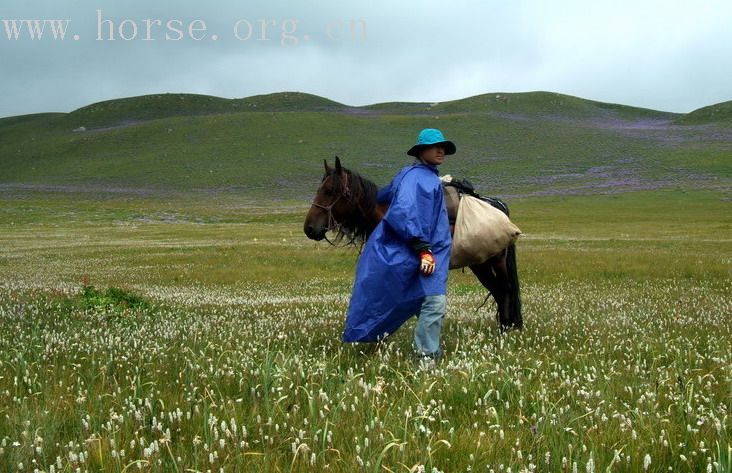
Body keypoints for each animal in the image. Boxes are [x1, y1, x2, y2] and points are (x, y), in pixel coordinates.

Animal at [304, 157, 520, 330]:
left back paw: (506, 330)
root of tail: (499, 207)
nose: (309, 228)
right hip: (479, 264)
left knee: (505, 289)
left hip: (495, 261)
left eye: (329, 191)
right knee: (498, 290)